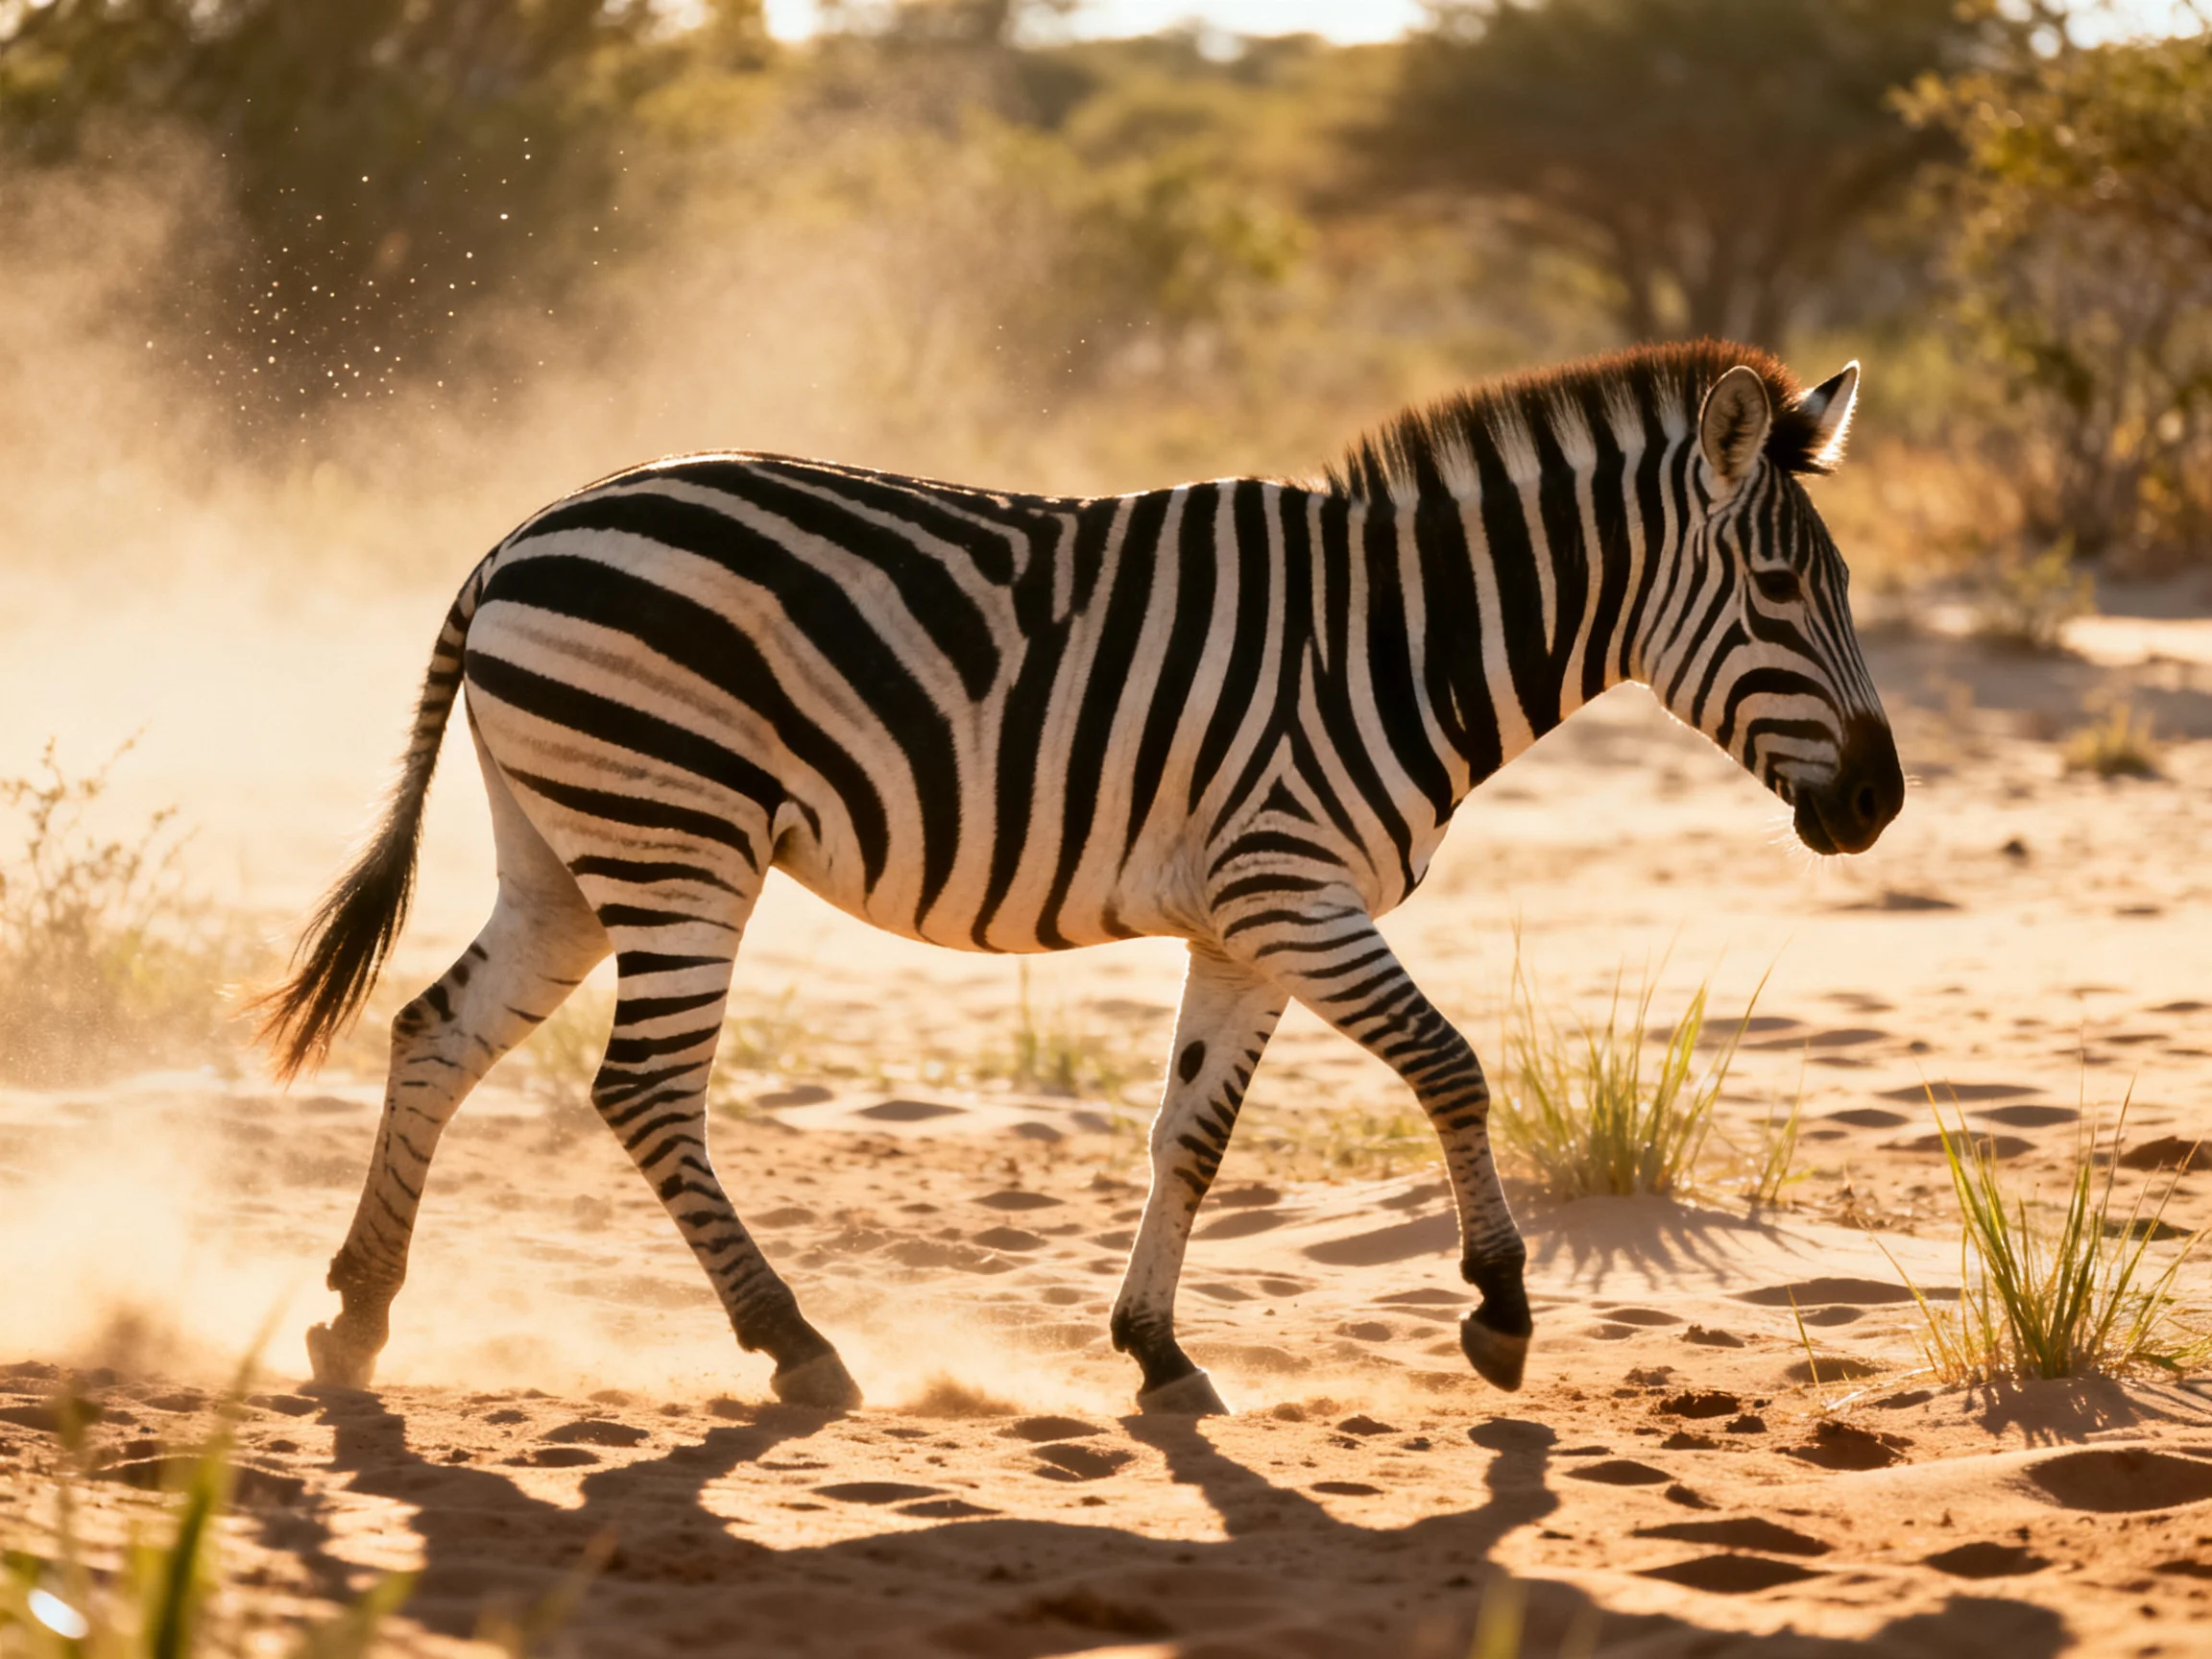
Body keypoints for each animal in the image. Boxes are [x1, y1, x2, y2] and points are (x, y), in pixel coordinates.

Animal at [260, 339, 1902, 1415]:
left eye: (1838, 586)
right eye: (1778, 589)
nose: (1883, 803)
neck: (1400, 641)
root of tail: (517, 537)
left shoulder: (1245, 927)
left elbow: (1192, 1135)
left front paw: (1157, 1350)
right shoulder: (1294, 889)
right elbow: (1452, 1065)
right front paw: (1498, 1308)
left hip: (569, 849)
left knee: (436, 1033)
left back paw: (357, 1317)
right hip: (680, 837)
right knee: (647, 1090)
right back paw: (794, 1344)